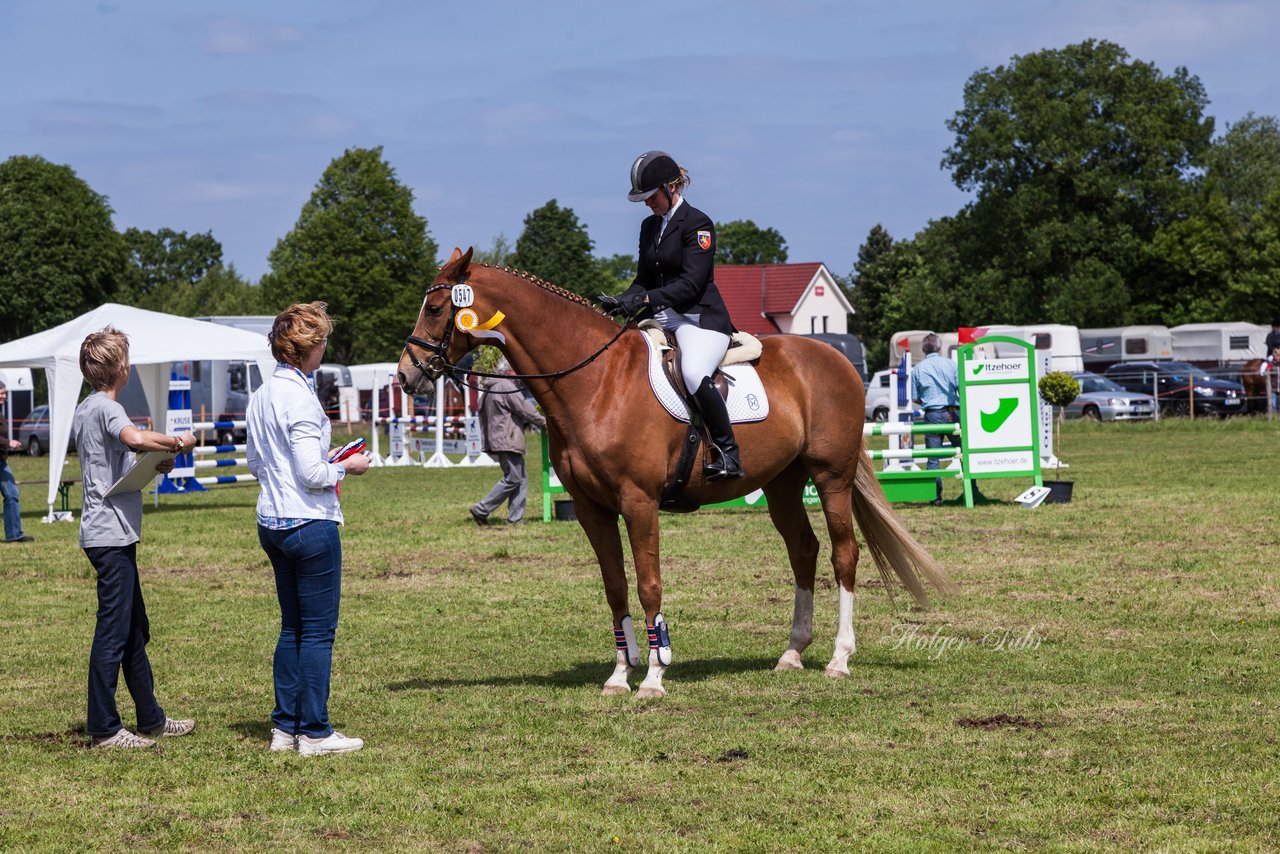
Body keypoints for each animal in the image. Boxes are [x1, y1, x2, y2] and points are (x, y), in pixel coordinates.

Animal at [396, 248, 952, 701]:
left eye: (437, 309)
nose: (406, 374)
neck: (595, 380)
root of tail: (834, 358)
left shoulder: (639, 503)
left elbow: (648, 585)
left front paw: (654, 678)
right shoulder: (594, 510)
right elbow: (615, 586)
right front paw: (619, 676)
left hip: (830, 477)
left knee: (843, 554)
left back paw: (838, 658)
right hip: (782, 483)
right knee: (803, 550)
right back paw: (792, 653)